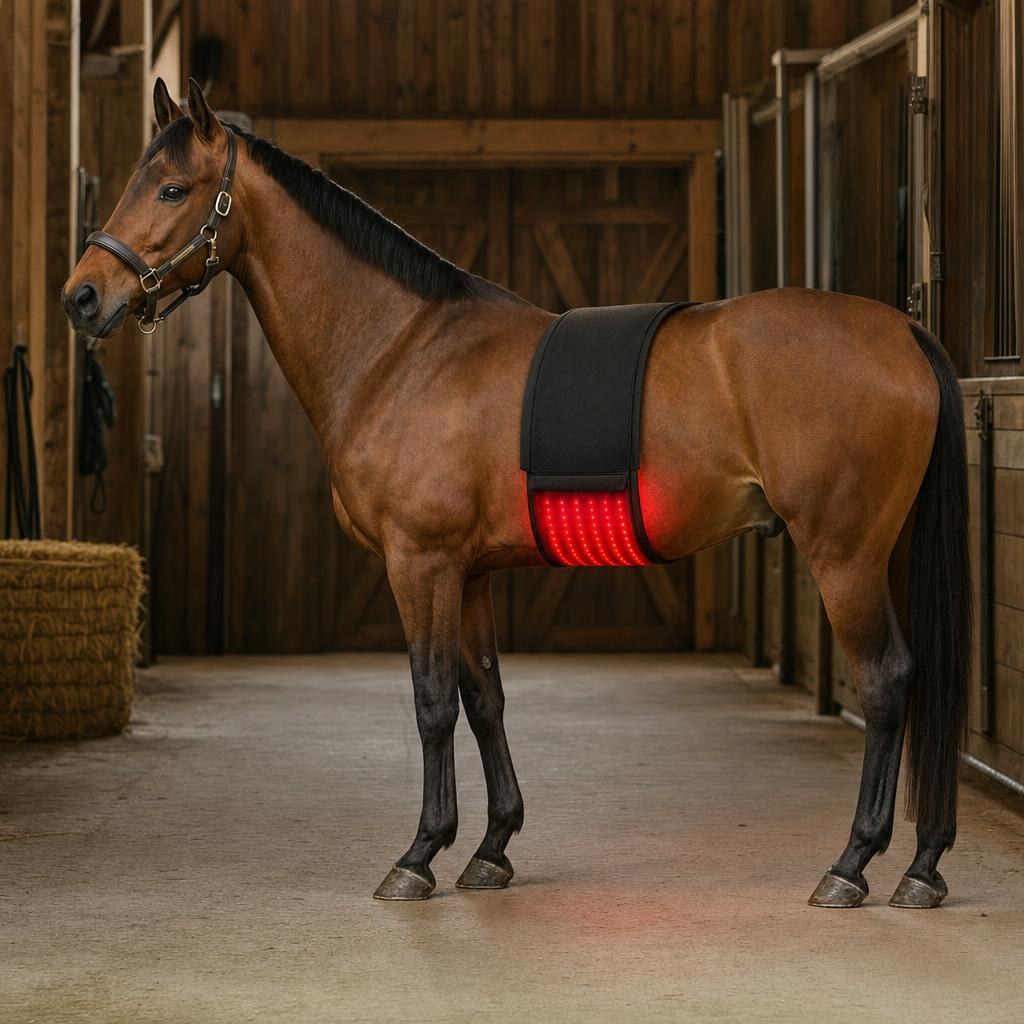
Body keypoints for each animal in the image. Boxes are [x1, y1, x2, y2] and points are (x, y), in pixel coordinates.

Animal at [63, 78, 969, 910]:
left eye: (172, 189)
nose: (83, 297)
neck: (402, 348)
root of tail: (904, 332)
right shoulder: (469, 575)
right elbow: (485, 697)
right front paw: (491, 848)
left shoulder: (419, 564)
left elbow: (432, 701)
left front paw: (419, 854)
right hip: (882, 556)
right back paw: (922, 864)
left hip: (843, 557)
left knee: (887, 681)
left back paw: (853, 864)